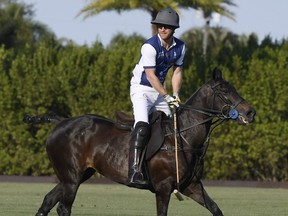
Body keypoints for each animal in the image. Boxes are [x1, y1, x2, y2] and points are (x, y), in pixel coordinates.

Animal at [25, 68, 255, 216]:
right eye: (224, 91)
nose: (250, 112)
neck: (183, 137)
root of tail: (61, 122)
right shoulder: (163, 187)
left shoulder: (192, 186)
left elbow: (216, 209)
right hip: (71, 178)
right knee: (63, 208)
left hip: (76, 176)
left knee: (47, 201)